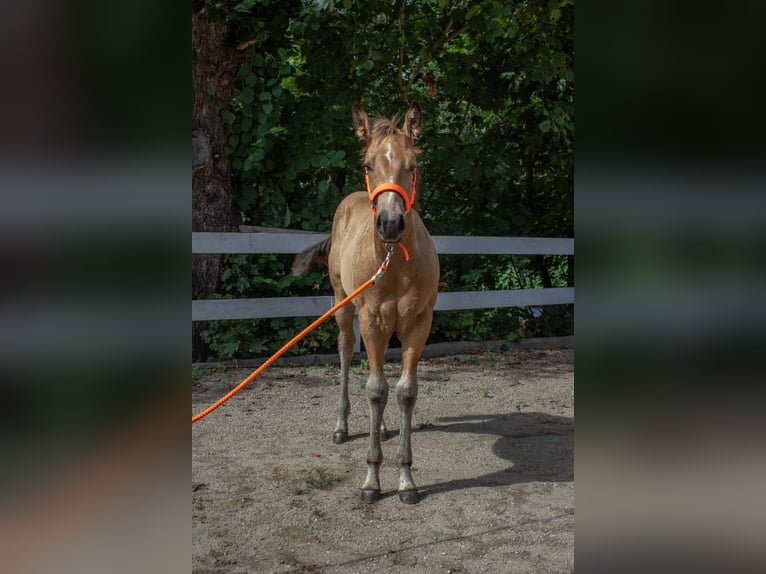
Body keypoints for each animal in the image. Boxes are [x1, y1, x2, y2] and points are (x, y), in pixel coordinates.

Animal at [292, 102, 440, 504]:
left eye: (413, 165)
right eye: (368, 164)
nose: (389, 224)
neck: (393, 263)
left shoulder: (418, 323)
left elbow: (403, 392)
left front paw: (406, 479)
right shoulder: (372, 318)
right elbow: (375, 391)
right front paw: (372, 479)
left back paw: (385, 427)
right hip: (344, 305)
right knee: (345, 351)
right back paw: (342, 427)